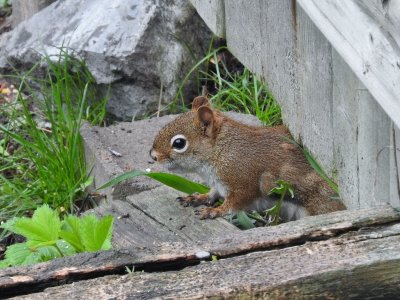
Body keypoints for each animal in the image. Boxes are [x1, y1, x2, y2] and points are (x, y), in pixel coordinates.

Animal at [148, 96, 346, 220]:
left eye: (179, 143)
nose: (153, 156)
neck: (221, 151)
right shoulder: (219, 184)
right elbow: (213, 192)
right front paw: (198, 197)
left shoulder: (242, 183)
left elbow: (235, 204)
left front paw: (215, 211)